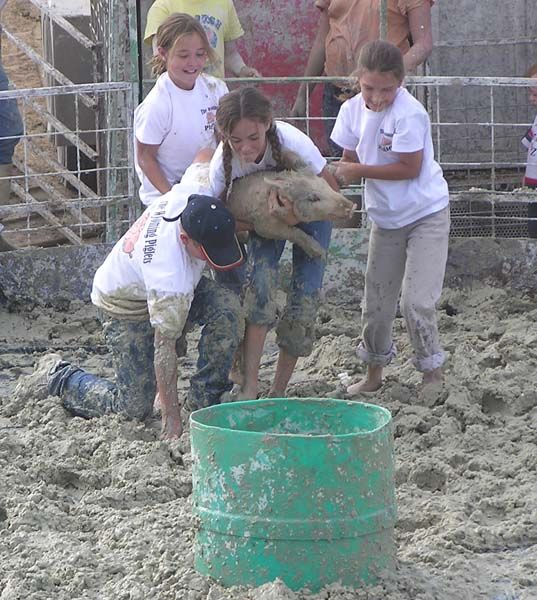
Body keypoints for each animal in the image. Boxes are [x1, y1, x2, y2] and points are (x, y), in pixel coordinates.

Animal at [227, 166, 356, 258]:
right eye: (313, 198)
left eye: (326, 184)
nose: (353, 206)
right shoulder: (263, 224)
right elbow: (293, 232)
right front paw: (321, 254)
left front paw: (339, 177)